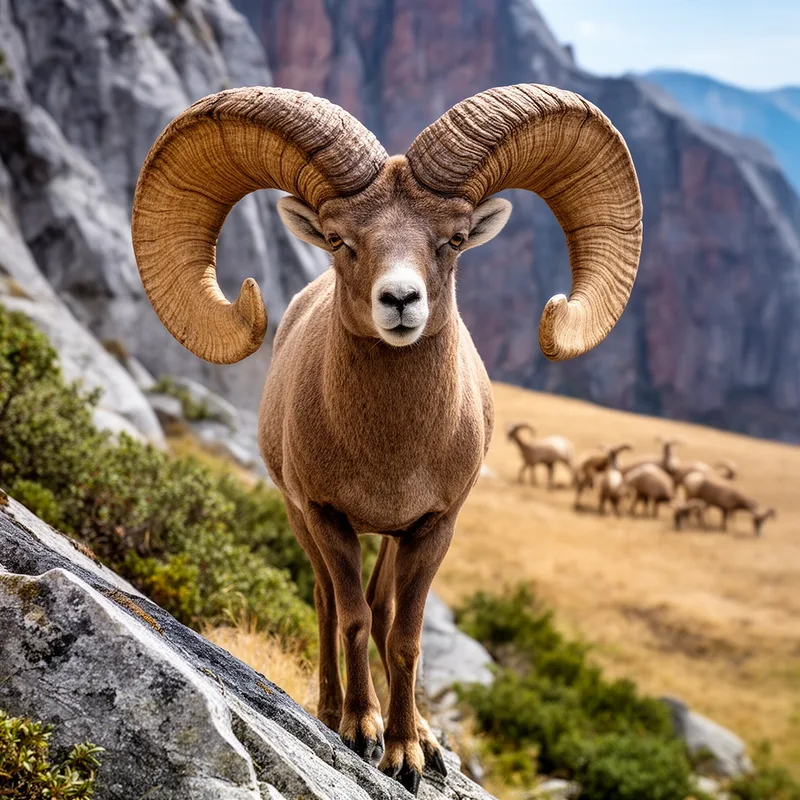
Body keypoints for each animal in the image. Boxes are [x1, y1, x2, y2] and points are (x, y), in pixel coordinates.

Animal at [131, 84, 642, 792]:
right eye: (340, 240)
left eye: (454, 239)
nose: (400, 301)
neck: (389, 454)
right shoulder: (327, 517)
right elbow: (351, 616)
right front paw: (360, 731)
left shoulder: (431, 528)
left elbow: (404, 636)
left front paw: (406, 753)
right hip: (304, 522)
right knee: (328, 604)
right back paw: (329, 709)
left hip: (392, 542)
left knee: (384, 609)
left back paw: (425, 737)